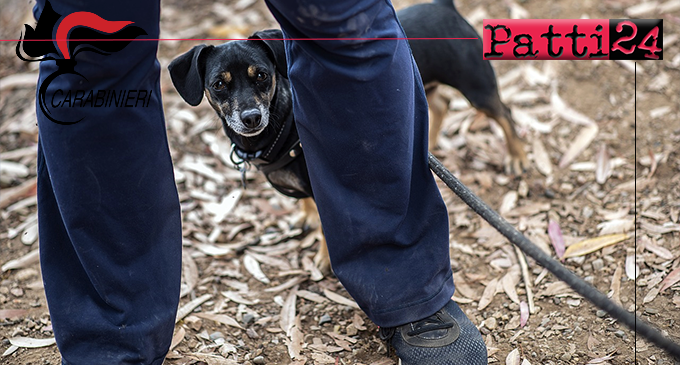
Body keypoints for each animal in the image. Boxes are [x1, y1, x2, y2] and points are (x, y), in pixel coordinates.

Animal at [169, 0, 524, 272]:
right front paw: (304, 217)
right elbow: (308, 206)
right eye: (218, 84)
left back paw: (515, 158)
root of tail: (444, 6)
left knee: (505, 114)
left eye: (263, 76)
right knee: (439, 105)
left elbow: (330, 230)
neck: (283, 121)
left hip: (476, 86)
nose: (251, 117)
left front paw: (325, 260)